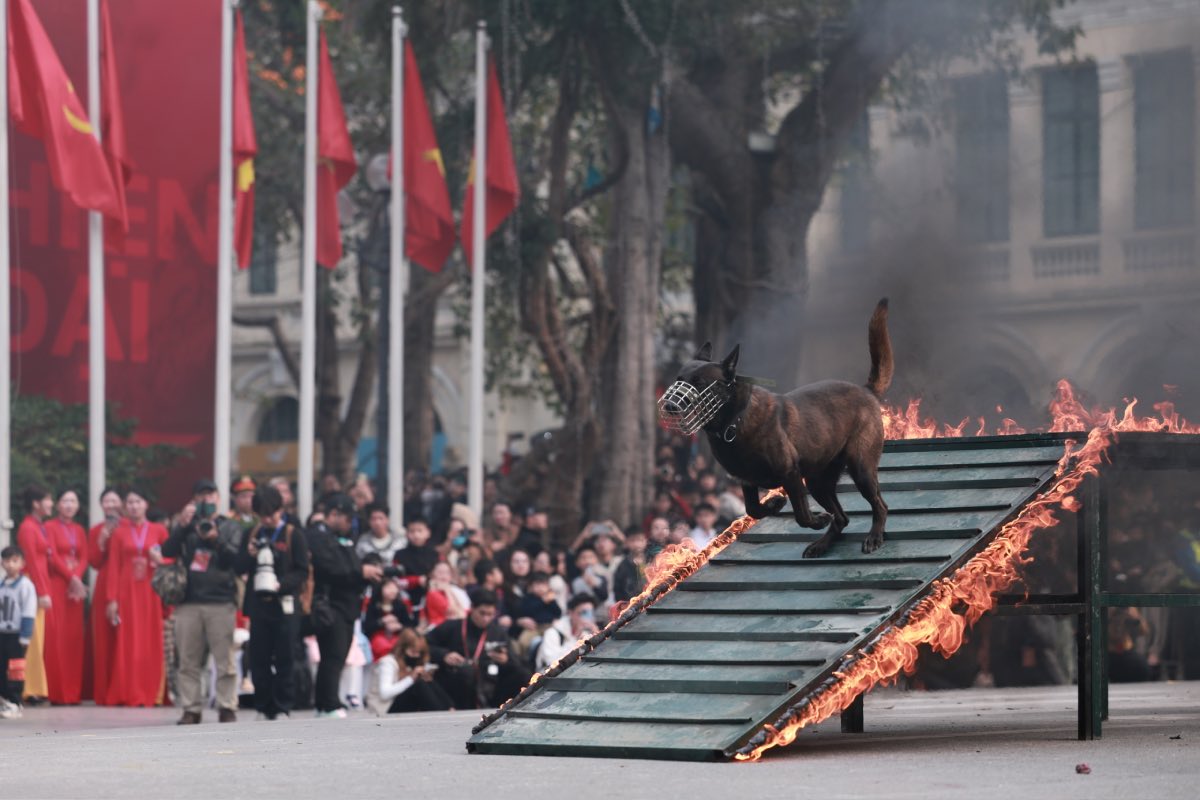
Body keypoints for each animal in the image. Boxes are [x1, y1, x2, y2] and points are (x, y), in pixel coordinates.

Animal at [667, 299, 892, 556]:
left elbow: (802, 515)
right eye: (678, 379)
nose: (670, 405)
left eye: (701, 383)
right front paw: (775, 503)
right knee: (842, 518)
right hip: (817, 482)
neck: (735, 421)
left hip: (860, 468)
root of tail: (865, 390)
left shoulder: (790, 474)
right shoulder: (748, 482)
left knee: (880, 505)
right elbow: (753, 509)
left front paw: (815, 519)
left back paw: (874, 536)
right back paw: (822, 544)